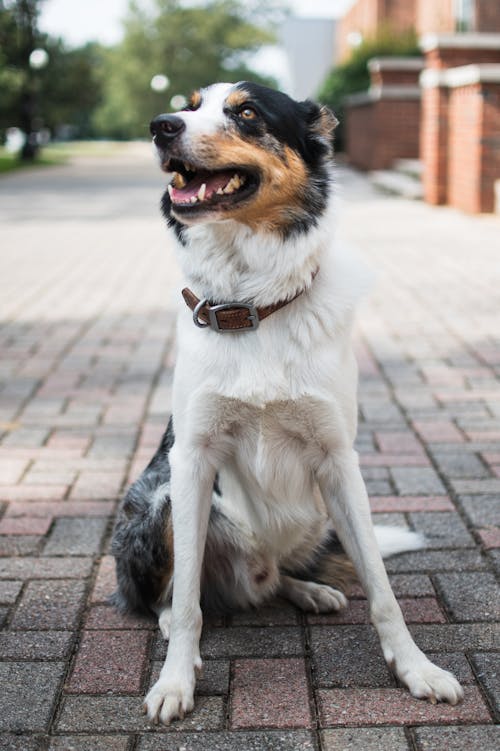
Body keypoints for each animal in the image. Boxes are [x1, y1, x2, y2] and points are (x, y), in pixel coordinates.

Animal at [111, 81, 462, 724]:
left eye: (247, 112)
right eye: (189, 105)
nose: (161, 125)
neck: (251, 304)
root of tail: (253, 573)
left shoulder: (339, 460)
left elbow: (383, 590)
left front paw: (417, 668)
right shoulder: (191, 460)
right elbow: (191, 599)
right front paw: (175, 680)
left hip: (316, 514)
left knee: (282, 578)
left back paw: (311, 589)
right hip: (157, 500)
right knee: (167, 595)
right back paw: (175, 621)